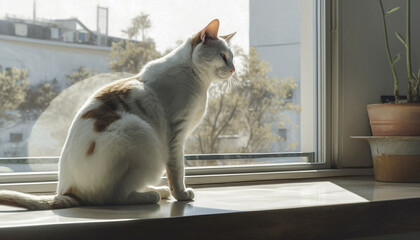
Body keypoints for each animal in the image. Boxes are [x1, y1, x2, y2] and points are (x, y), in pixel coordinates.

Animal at [0, 19, 236, 210]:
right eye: (223, 56)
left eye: (232, 59)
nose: (233, 69)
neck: (198, 80)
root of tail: (67, 189)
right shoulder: (176, 134)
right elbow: (177, 170)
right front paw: (182, 194)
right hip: (140, 133)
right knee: (116, 196)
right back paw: (152, 195)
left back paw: (158, 191)